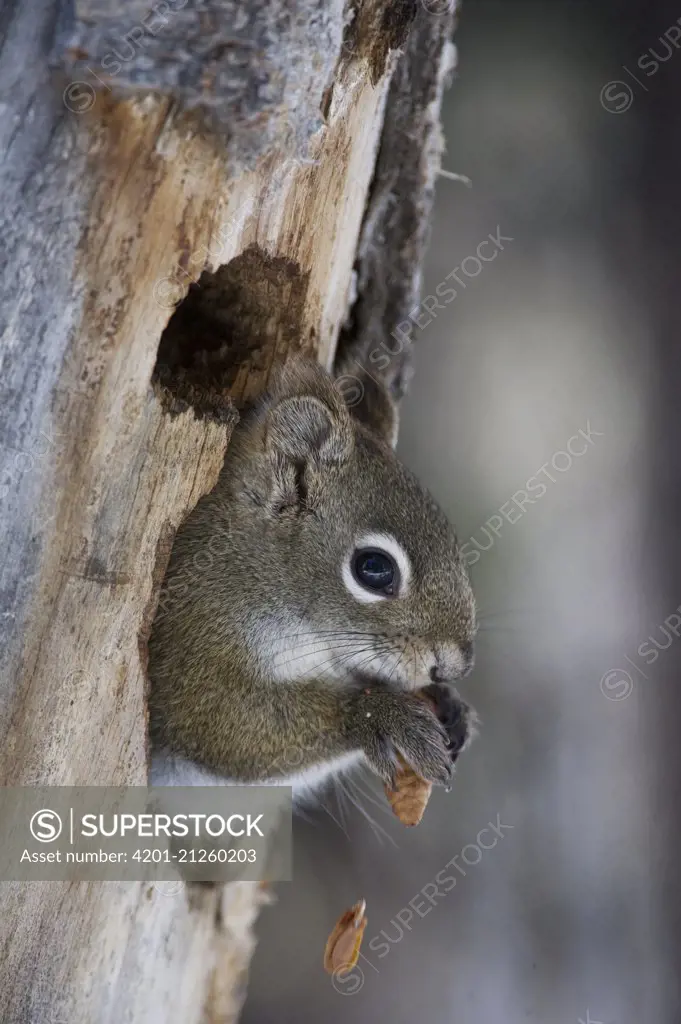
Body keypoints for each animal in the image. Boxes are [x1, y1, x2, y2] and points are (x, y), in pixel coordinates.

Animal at [147, 356, 477, 802]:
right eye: (375, 569)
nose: (455, 666)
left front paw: (451, 705)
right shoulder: (189, 639)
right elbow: (221, 727)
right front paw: (379, 716)